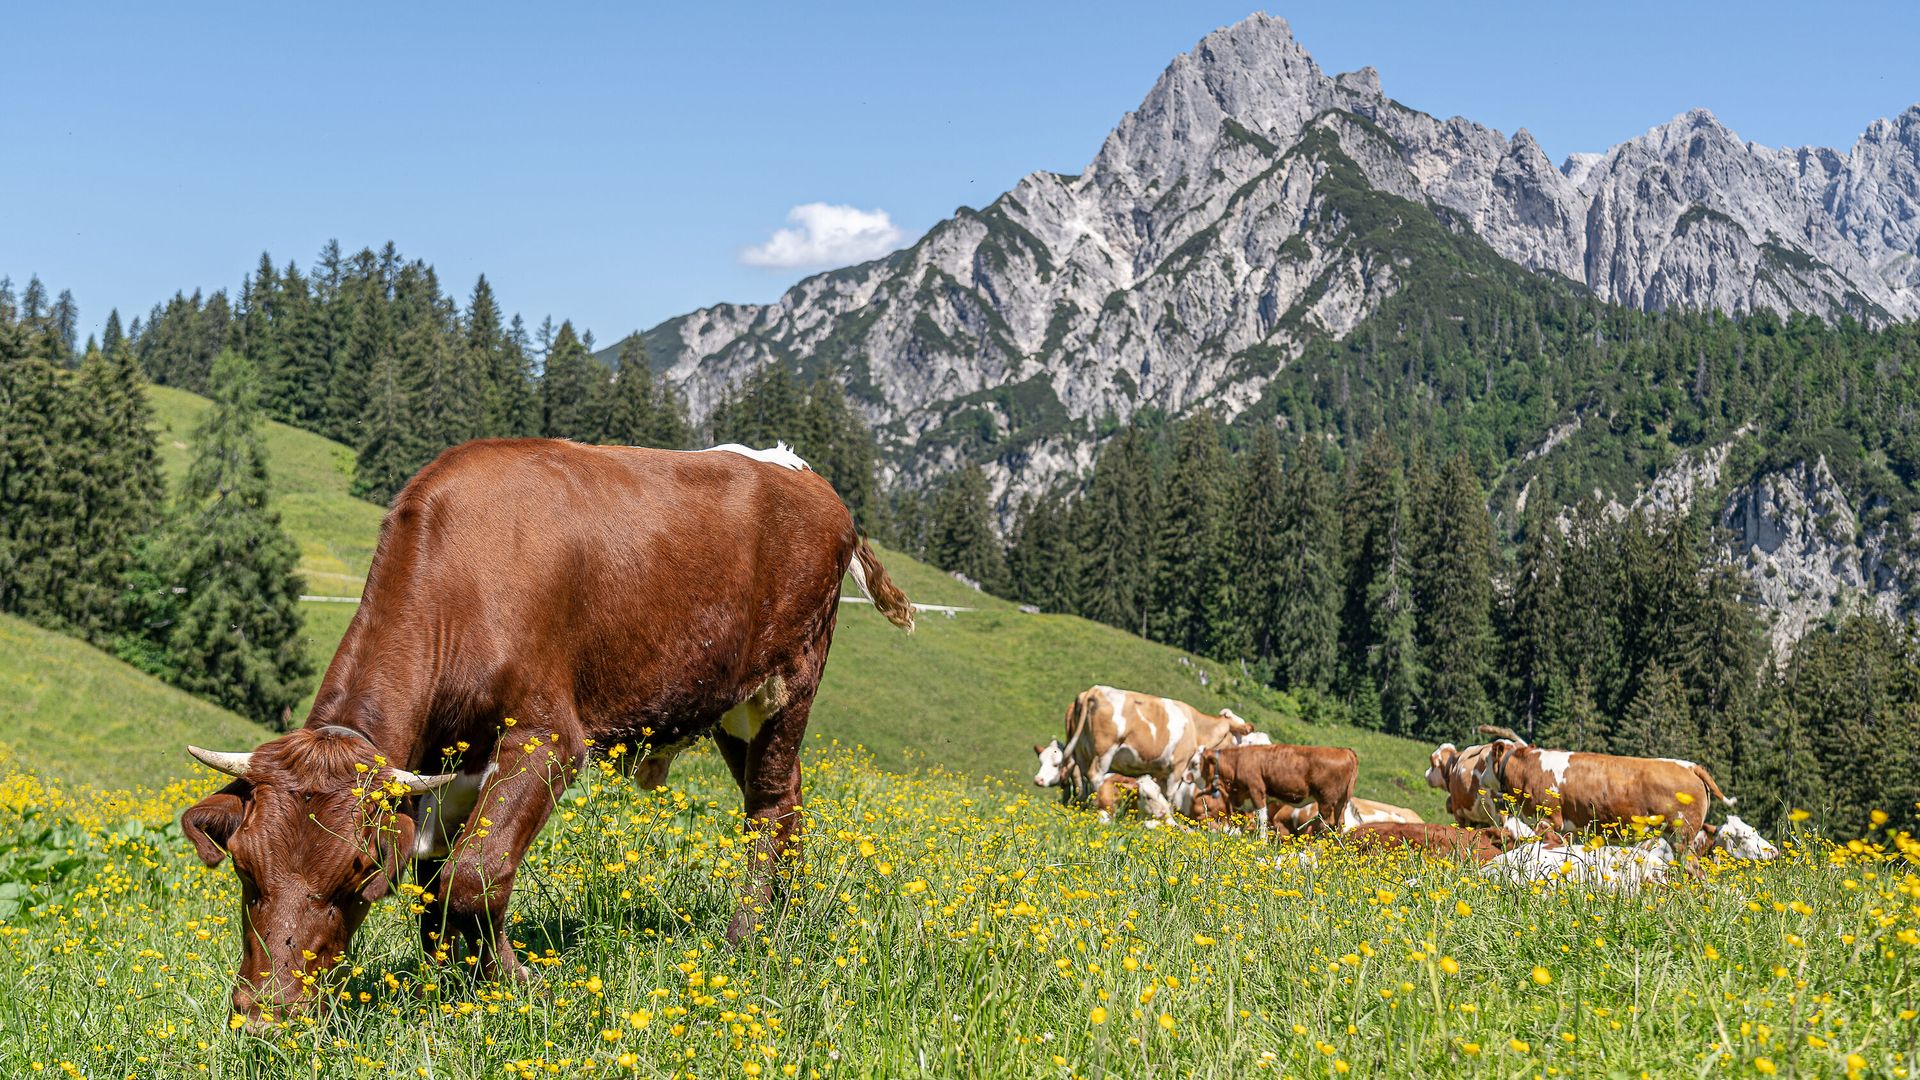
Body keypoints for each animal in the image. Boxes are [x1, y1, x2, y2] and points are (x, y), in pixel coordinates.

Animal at [177, 440, 915, 1028]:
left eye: (357, 877)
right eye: (244, 868)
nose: (267, 1014)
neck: (458, 584)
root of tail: (806, 477)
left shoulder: (547, 737)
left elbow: (473, 875)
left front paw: (517, 981)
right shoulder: (448, 769)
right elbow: (437, 884)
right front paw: (456, 979)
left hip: (790, 679)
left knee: (769, 803)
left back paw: (745, 939)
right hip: (728, 700)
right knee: (786, 798)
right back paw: (778, 924)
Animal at [1188, 744, 1357, 840]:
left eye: (1194, 763)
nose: (1184, 777)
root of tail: (1345, 751)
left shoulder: (1256, 790)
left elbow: (1261, 818)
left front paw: (1261, 842)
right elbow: (1260, 818)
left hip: (1326, 800)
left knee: (1326, 824)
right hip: (1342, 802)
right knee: (1338, 824)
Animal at [1478, 742, 1732, 852]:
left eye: (1485, 761)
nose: (1479, 776)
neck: (1527, 768)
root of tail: (1690, 766)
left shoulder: (1548, 820)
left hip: (1682, 835)